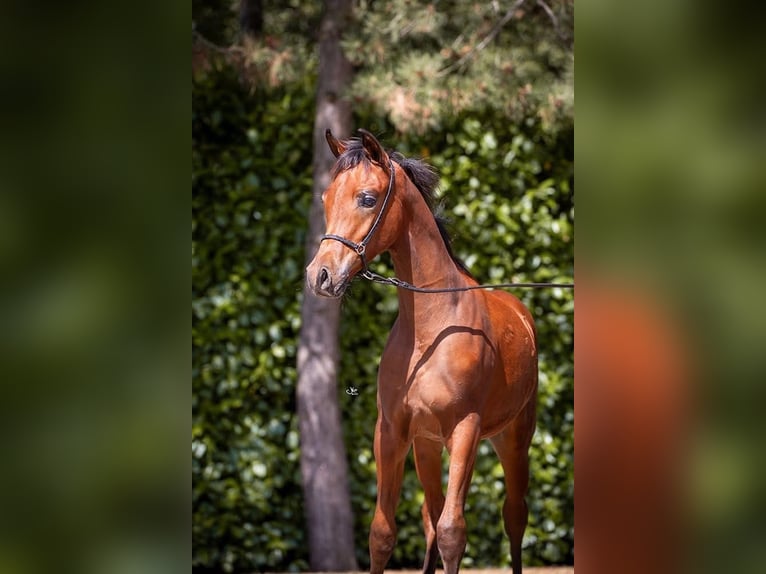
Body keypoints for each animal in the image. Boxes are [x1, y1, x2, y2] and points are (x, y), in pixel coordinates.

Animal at [306, 129, 538, 574]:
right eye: (326, 197)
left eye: (367, 198)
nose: (319, 276)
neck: (429, 331)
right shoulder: (392, 430)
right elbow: (383, 532)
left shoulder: (465, 430)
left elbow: (453, 532)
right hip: (427, 446)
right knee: (431, 515)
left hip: (513, 440)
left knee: (514, 517)